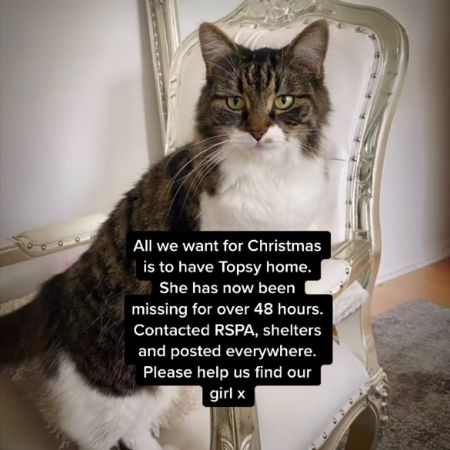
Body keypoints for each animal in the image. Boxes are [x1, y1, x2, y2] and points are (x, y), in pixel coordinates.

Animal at [0, 20, 330, 450]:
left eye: (285, 101)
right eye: (235, 102)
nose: (258, 132)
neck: (267, 177)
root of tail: (57, 289)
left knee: (136, 427)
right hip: (113, 390)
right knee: (104, 430)